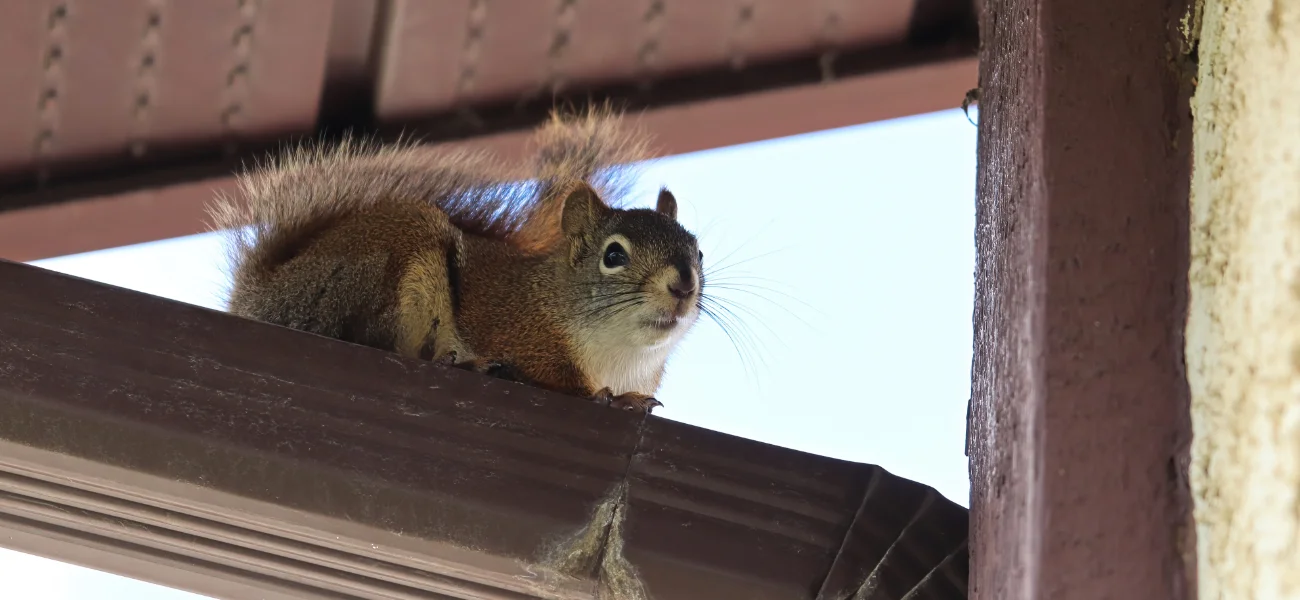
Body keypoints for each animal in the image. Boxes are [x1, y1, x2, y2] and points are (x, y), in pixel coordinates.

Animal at [208, 108, 704, 413]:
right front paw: (610, 398)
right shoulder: (523, 334)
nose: (683, 284)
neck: (620, 356)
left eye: (698, 251)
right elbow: (555, 378)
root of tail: (264, 296)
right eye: (613, 255)